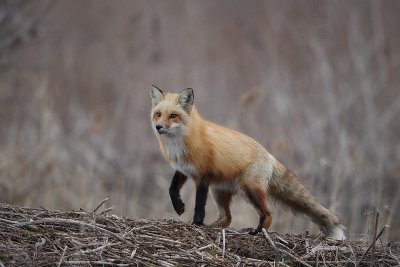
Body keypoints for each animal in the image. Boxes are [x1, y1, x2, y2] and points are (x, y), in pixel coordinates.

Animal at [148, 86, 346, 241]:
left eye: (173, 116)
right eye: (158, 114)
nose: (159, 127)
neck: (179, 144)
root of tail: (270, 155)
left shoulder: (203, 176)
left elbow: (199, 205)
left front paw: (196, 223)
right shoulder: (183, 169)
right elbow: (172, 189)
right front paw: (179, 207)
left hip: (249, 189)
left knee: (268, 214)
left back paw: (257, 232)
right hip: (218, 192)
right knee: (227, 218)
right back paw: (214, 227)